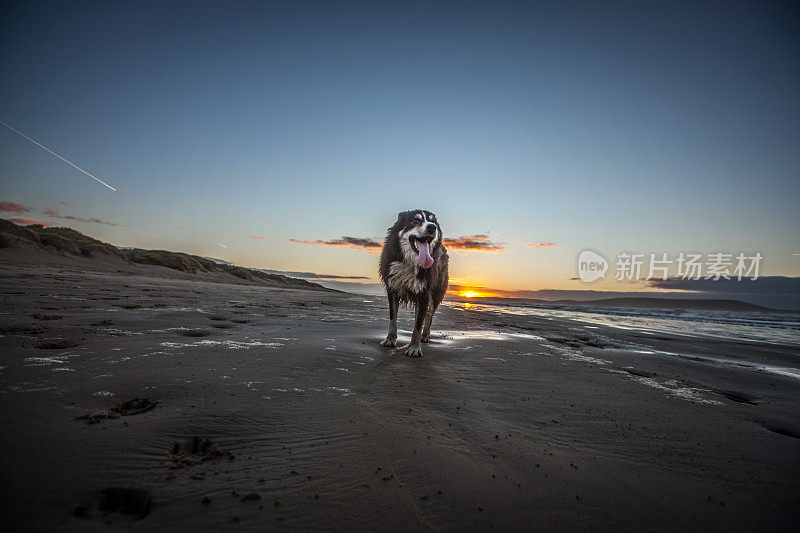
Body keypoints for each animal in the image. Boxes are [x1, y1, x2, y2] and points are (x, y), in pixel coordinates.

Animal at [376, 210, 446, 356]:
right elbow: (393, 316)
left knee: (429, 315)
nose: (432, 227)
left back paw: (425, 336)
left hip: (436, 293)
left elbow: (419, 323)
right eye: (415, 220)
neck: (410, 261)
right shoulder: (392, 288)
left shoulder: (425, 293)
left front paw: (414, 347)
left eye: (433, 222)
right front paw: (390, 339)